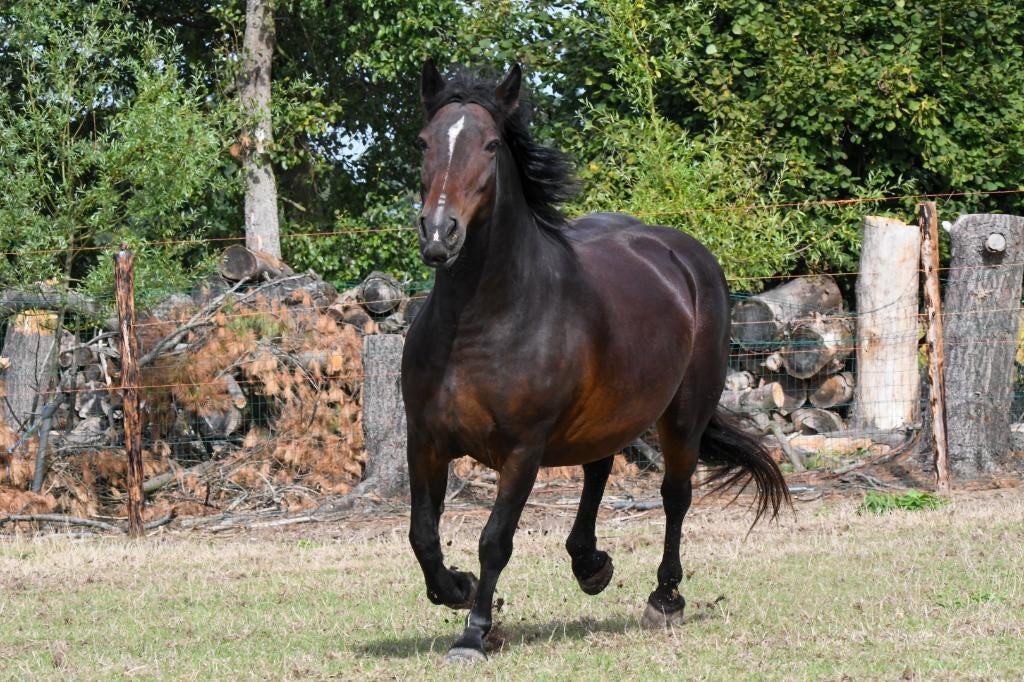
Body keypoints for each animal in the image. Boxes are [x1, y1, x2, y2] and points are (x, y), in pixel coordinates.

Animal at [401, 61, 789, 663]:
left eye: (491, 144)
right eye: (423, 141)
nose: (440, 234)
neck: (478, 323)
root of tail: (686, 256)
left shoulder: (523, 450)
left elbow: (495, 540)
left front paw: (474, 632)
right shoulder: (425, 440)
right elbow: (423, 536)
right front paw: (458, 588)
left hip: (683, 416)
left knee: (675, 496)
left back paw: (665, 598)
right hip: (609, 409)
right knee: (600, 468)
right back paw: (590, 564)